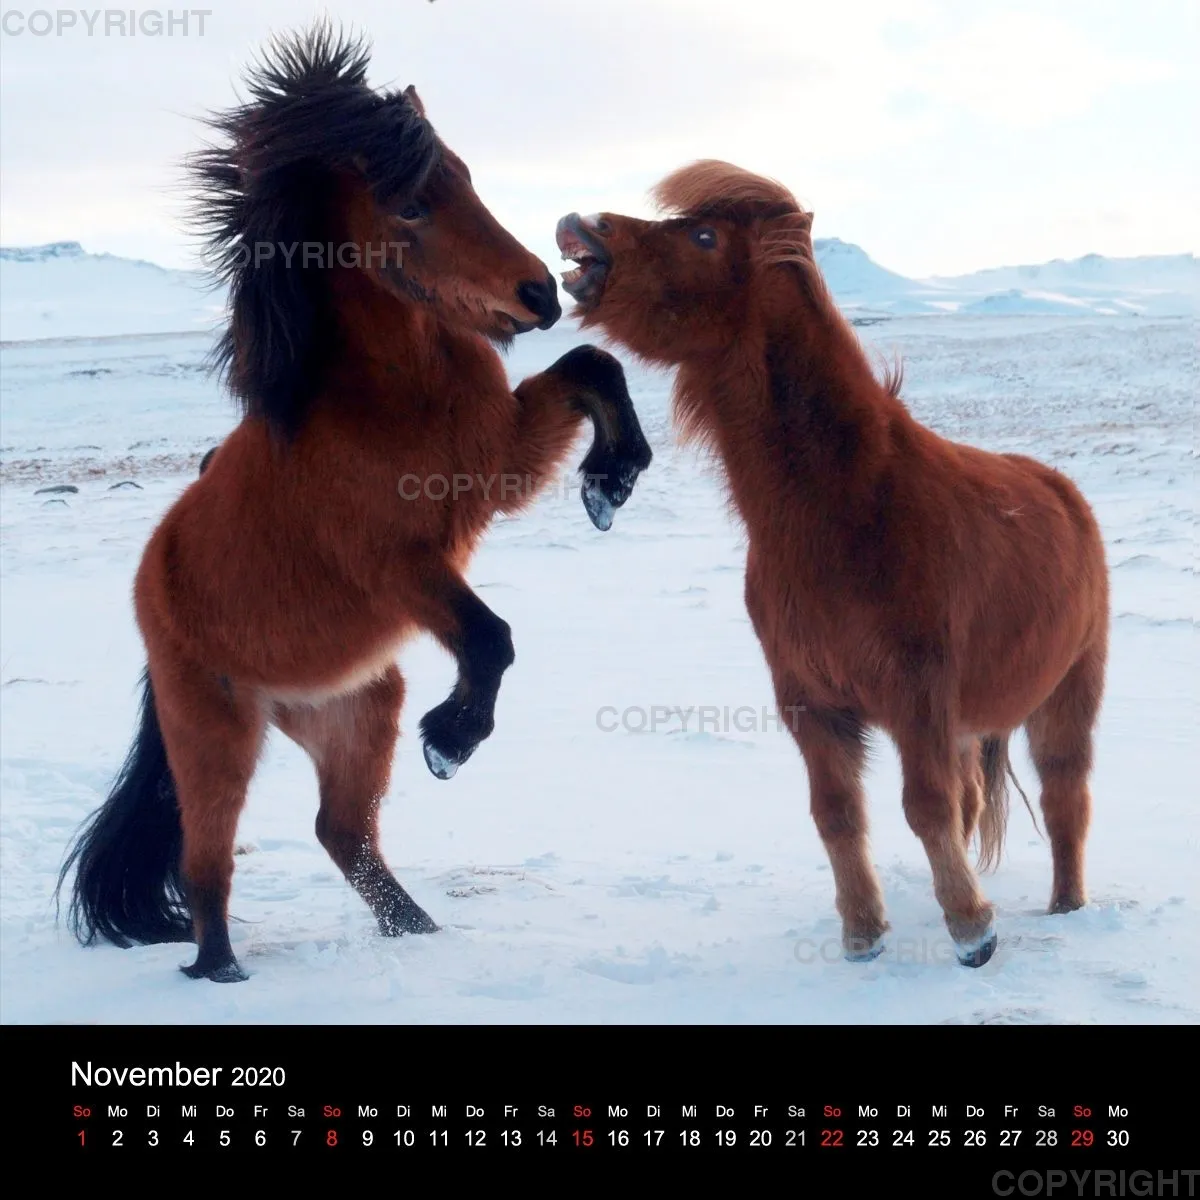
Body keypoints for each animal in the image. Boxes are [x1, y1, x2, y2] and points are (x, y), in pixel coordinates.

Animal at [58, 25, 651, 983]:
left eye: (466, 174)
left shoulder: (498, 467)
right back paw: (224, 973)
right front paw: (453, 739)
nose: (540, 296)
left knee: (343, 833)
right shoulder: (397, 564)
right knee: (207, 863)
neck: (390, 393)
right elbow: (492, 636)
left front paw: (612, 482)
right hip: (214, 734)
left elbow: (595, 369)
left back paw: (421, 933)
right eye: (408, 206)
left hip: (357, 713)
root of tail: (154, 580)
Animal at [556, 161, 1108, 967]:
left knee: (1066, 798)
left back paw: (1068, 907)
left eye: (703, 235)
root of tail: (1064, 491)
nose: (579, 227)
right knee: (977, 797)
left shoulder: (915, 696)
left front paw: (972, 931)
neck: (847, 505)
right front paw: (863, 934)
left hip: (1067, 694)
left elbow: (924, 805)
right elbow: (838, 814)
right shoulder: (810, 702)